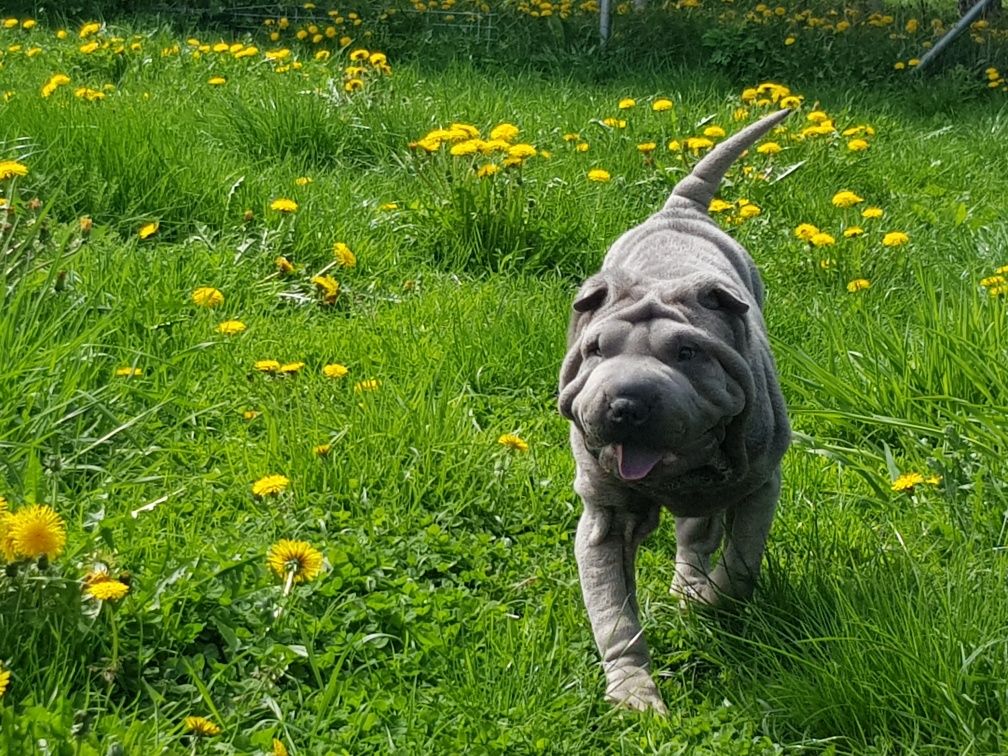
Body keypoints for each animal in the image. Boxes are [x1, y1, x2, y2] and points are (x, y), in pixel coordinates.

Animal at [556, 107, 790, 717]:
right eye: (595, 350)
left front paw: (711, 604)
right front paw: (635, 694)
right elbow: (613, 611)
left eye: (687, 353)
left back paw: (691, 589)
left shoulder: (761, 483)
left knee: (699, 534)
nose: (624, 403)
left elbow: (741, 559)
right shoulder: (604, 518)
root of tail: (678, 211)